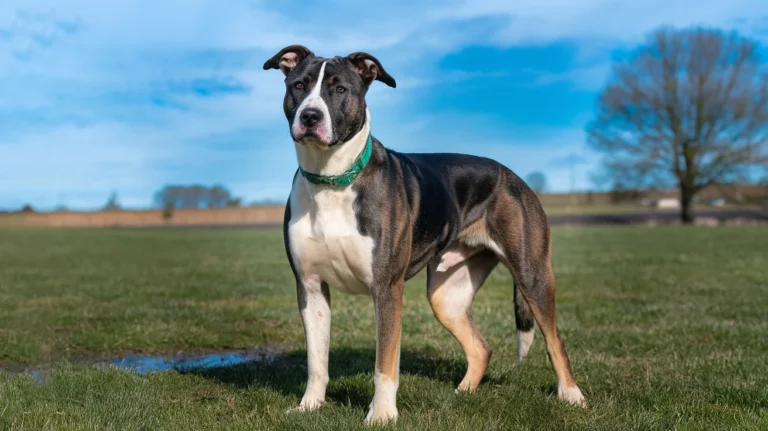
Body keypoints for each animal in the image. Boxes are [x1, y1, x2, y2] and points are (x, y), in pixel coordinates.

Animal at [264, 44, 588, 426]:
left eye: (339, 88)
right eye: (298, 85)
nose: (311, 117)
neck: (332, 179)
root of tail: (515, 176)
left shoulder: (386, 289)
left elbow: (384, 363)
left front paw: (382, 415)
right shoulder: (311, 287)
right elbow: (317, 360)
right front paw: (309, 407)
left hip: (532, 274)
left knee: (555, 340)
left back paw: (571, 396)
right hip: (446, 295)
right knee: (481, 347)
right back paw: (463, 393)